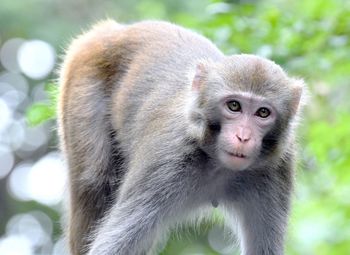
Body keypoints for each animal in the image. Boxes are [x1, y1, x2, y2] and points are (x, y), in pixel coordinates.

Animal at [57, 18, 306, 254]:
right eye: (234, 106)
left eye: (263, 113)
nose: (243, 137)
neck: (217, 163)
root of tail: (113, 30)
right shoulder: (166, 161)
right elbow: (112, 246)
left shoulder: (277, 170)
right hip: (83, 80)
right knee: (93, 182)